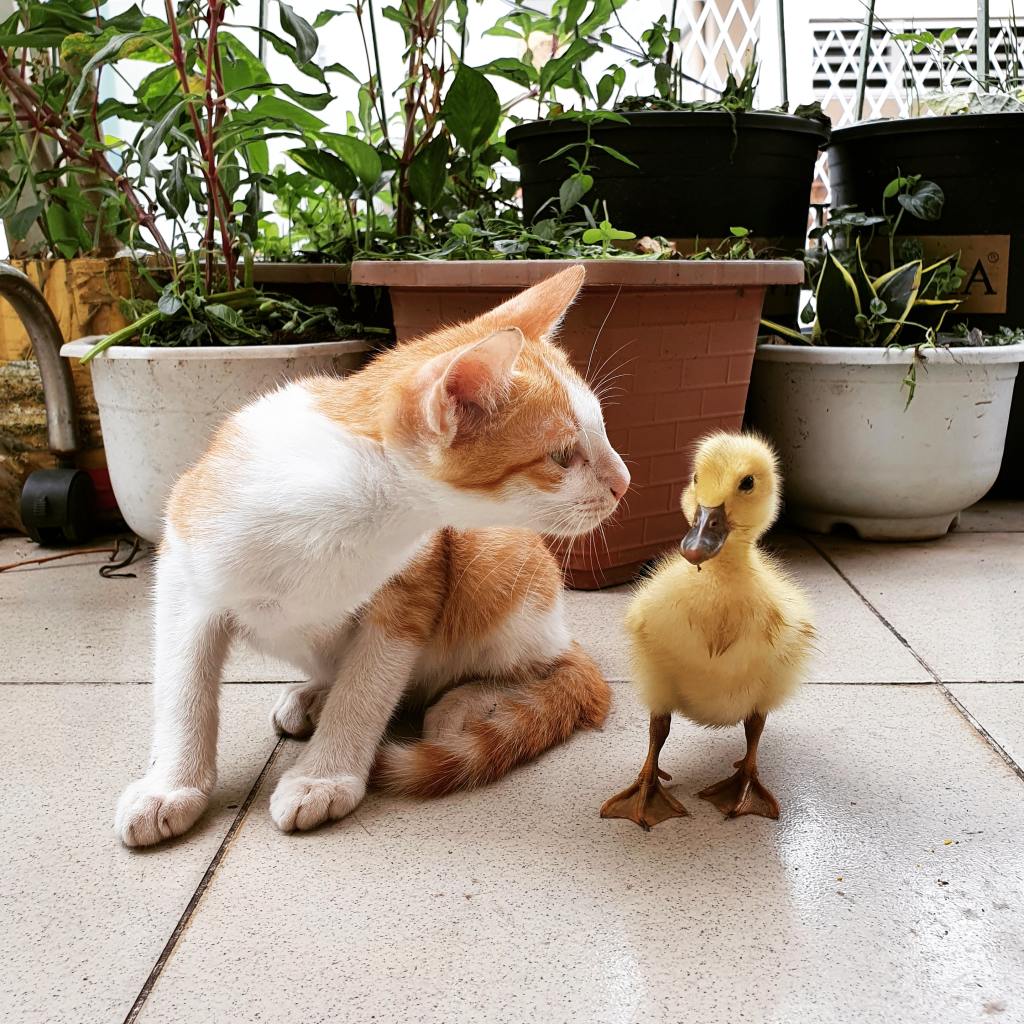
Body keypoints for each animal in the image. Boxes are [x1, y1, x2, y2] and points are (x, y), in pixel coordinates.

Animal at [112, 266, 622, 847]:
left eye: (603, 431)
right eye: (561, 457)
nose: (624, 483)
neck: (349, 510)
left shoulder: (413, 584)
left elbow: (368, 684)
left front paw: (324, 775)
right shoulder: (184, 565)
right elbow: (183, 684)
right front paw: (172, 784)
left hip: (496, 558)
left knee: (545, 666)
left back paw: (470, 704)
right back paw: (314, 694)